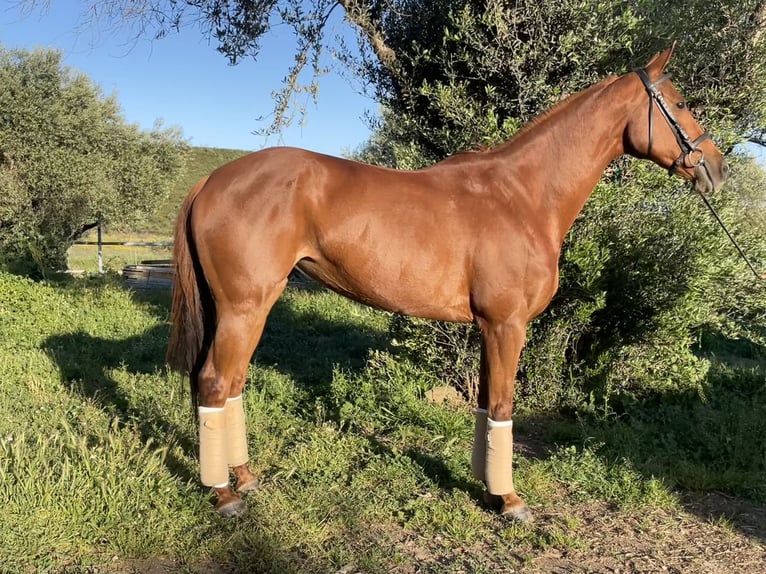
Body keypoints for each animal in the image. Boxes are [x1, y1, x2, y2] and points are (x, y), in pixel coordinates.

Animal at [168, 47, 732, 520]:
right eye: (680, 103)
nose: (717, 168)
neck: (523, 195)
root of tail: (212, 180)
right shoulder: (507, 325)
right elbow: (503, 406)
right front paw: (510, 501)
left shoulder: (489, 328)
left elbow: (485, 405)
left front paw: (487, 487)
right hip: (245, 307)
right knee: (214, 383)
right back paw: (224, 493)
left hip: (246, 309)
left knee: (232, 385)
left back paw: (245, 477)